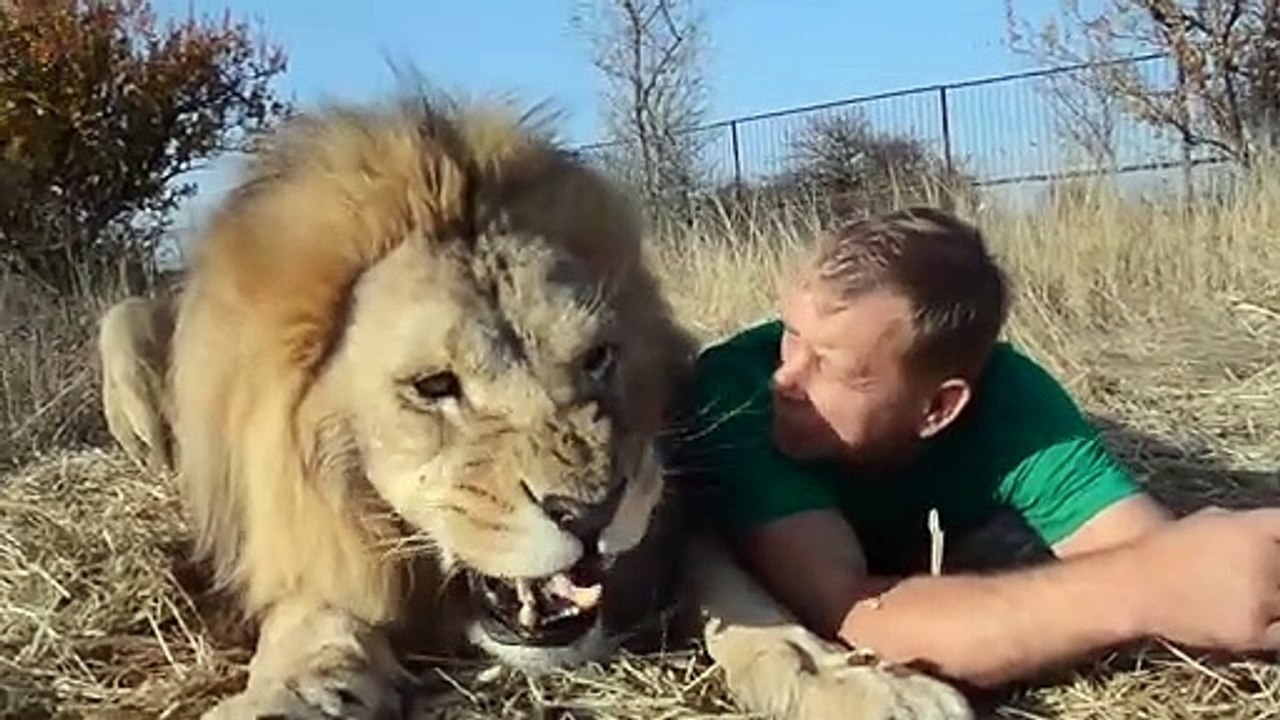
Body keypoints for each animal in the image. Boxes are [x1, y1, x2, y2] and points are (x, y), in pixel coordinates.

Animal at [97, 87, 974, 720]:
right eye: (434, 387)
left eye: (598, 358)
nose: (590, 515)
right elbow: (314, 624)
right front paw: (283, 693)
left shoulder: (670, 518)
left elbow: (753, 605)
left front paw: (865, 684)